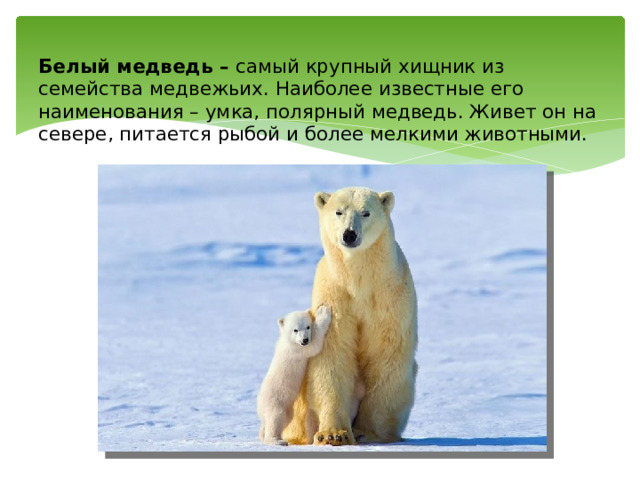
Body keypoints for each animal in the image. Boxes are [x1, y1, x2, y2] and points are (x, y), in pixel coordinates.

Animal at [257, 306, 332, 446]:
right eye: (295, 330)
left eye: (307, 327)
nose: (304, 340)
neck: (288, 341)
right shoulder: (297, 350)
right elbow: (314, 345)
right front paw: (323, 312)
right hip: (275, 400)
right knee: (275, 418)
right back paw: (277, 441)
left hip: (286, 408)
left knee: (283, 419)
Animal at [282, 187, 418, 446]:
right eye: (338, 211)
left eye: (366, 212)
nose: (349, 234)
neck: (359, 280)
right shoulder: (334, 296)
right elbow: (332, 355)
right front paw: (334, 434)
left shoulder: (389, 296)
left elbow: (386, 354)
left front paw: (367, 431)